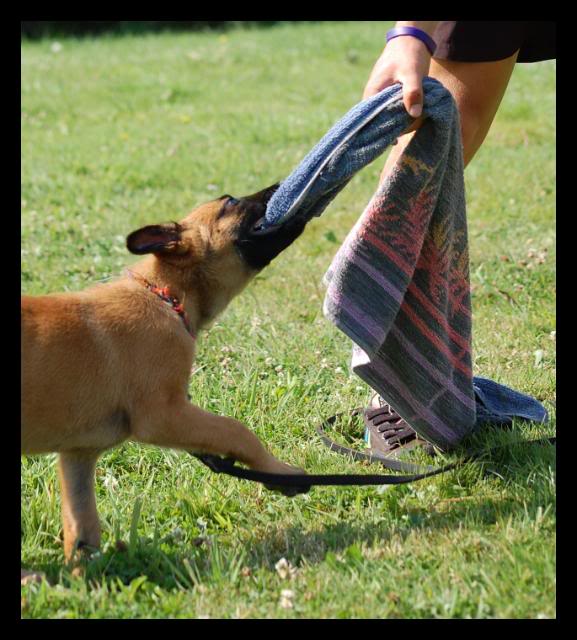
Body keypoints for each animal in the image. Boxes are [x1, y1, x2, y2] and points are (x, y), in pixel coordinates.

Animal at [22, 182, 308, 576]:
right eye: (231, 203)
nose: (280, 186)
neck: (164, 296)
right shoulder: (163, 415)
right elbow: (238, 431)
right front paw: (280, 472)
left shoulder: (78, 453)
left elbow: (82, 525)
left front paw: (86, 579)